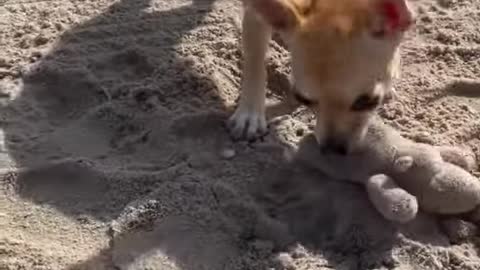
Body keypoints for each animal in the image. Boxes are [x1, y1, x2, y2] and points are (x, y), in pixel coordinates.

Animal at [228, 0, 412, 154]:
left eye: (367, 101)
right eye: (303, 99)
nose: (331, 150)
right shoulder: (253, 12)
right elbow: (255, 58)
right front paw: (250, 114)